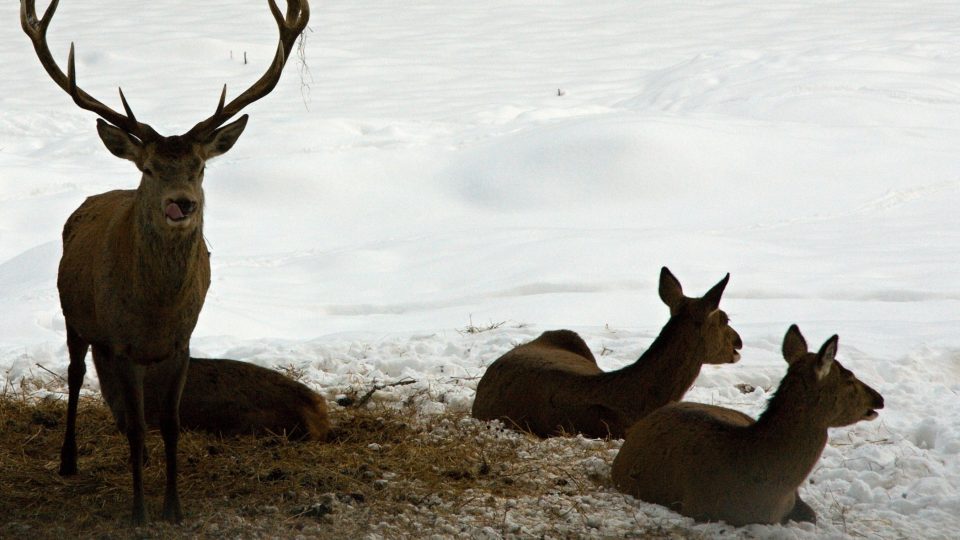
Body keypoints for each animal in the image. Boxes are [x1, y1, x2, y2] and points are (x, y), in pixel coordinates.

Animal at [21, 0, 312, 524]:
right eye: (152, 168)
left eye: (199, 167)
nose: (182, 203)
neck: (154, 311)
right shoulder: (122, 344)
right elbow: (138, 424)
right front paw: (139, 511)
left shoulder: (181, 342)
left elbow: (171, 423)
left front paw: (173, 506)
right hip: (76, 318)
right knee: (76, 376)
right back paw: (69, 460)